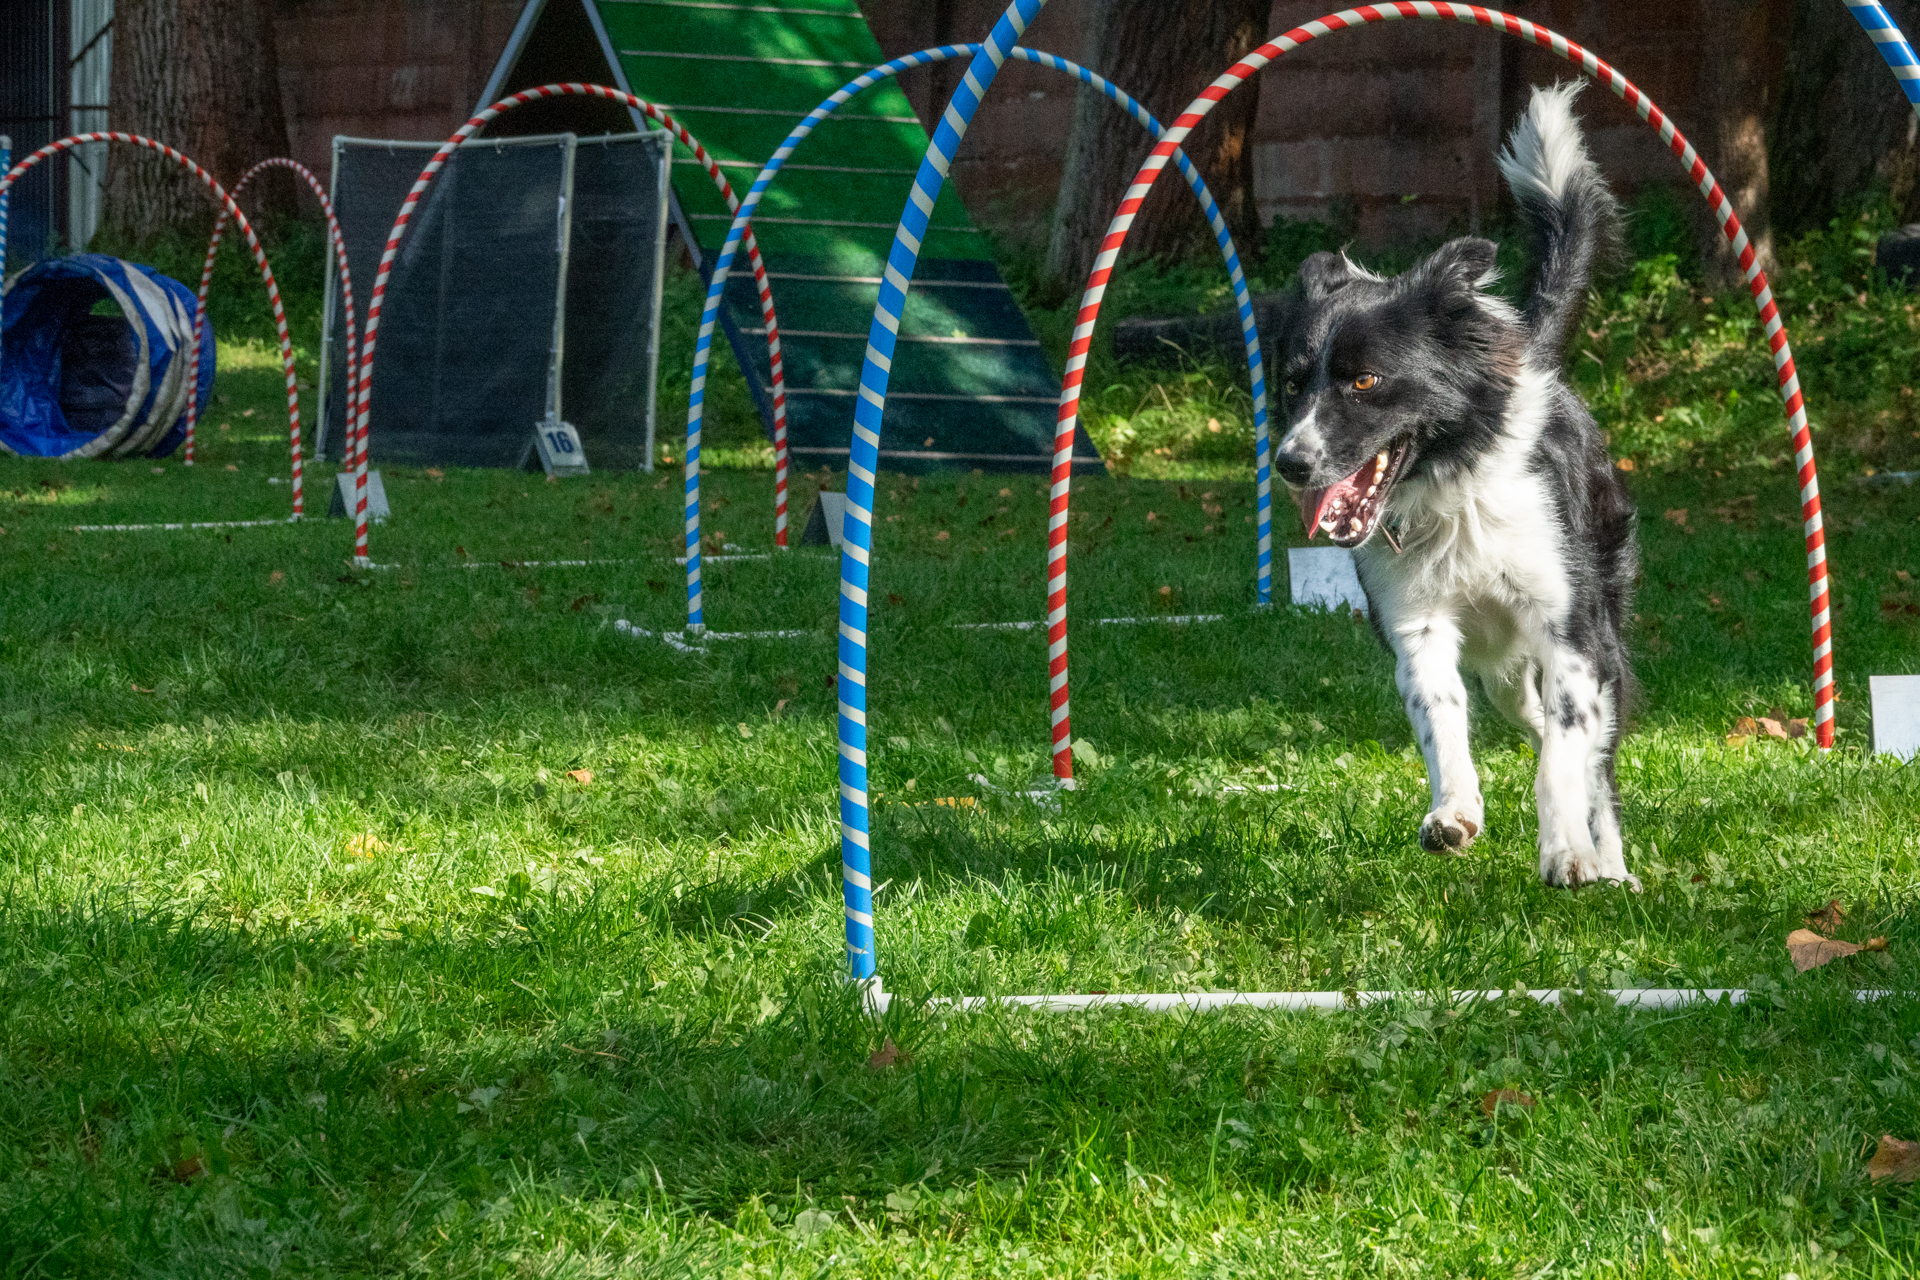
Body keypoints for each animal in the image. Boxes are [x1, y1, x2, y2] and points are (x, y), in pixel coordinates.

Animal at [1269, 83, 1639, 889]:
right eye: (1291, 384)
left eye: (1365, 381)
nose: (1291, 463)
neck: (1455, 488)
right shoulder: (1418, 625)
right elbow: (1442, 721)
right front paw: (1456, 813)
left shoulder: (1571, 628)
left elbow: (1567, 757)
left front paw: (1569, 852)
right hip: (1502, 663)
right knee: (1522, 707)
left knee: (1592, 751)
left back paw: (1610, 862)